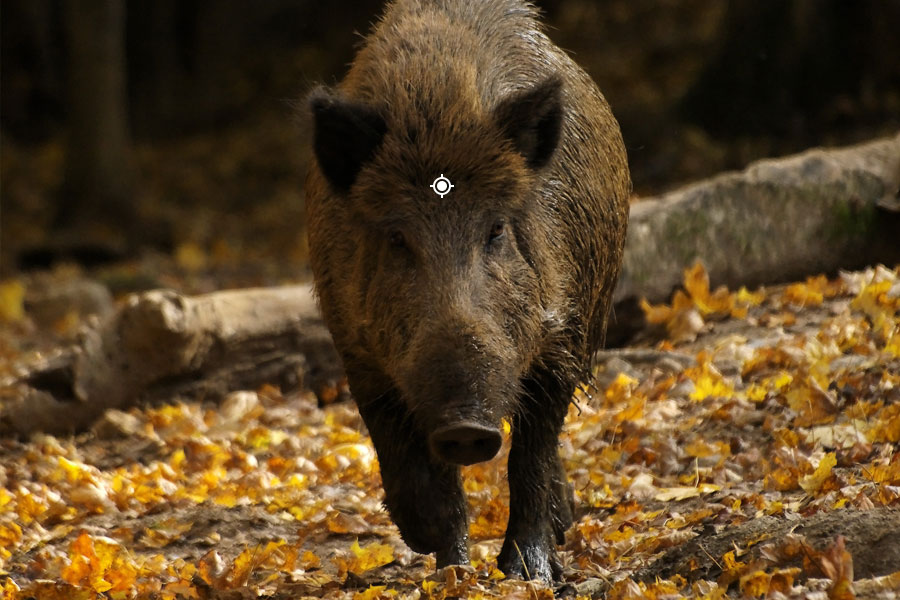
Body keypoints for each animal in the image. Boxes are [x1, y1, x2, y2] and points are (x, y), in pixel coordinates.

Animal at [304, 0, 630, 582]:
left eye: (496, 229)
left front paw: (525, 576)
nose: (466, 426)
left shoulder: (563, 336)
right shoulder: (358, 351)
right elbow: (410, 462)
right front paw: (446, 564)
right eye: (397, 237)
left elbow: (529, 457)